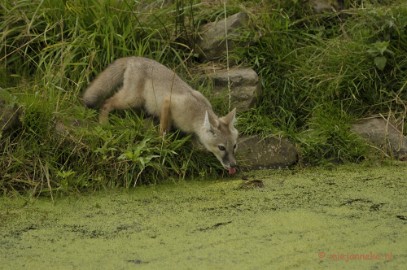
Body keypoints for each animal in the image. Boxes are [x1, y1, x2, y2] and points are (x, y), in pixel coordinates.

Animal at [83, 57, 239, 175]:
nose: (233, 165)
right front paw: (163, 144)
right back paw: (104, 125)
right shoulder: (167, 102)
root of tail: (134, 58)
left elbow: (196, 144)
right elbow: (164, 129)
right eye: (221, 148)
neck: (195, 113)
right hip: (130, 100)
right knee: (106, 103)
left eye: (234, 146)